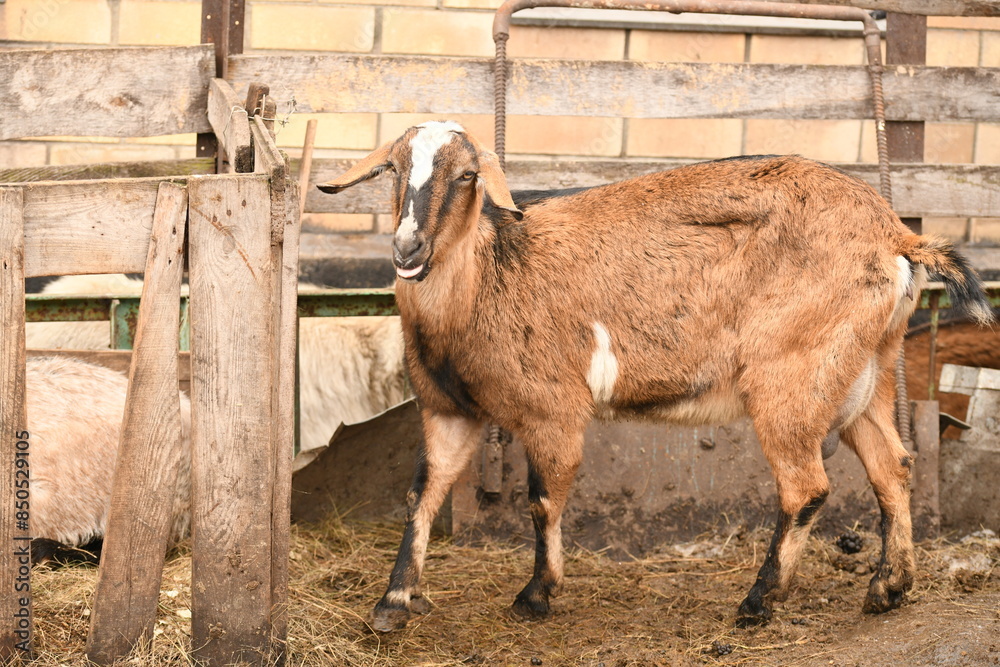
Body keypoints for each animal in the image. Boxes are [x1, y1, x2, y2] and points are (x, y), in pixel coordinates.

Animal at [318, 121, 994, 631]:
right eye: (392, 170)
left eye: (467, 176)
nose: (408, 250)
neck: (488, 276)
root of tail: (894, 232)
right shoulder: (447, 409)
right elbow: (423, 494)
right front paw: (392, 603)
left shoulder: (552, 409)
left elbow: (543, 499)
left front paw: (536, 594)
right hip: (868, 370)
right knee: (892, 466)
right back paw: (889, 588)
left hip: (794, 372)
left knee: (807, 487)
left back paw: (758, 602)